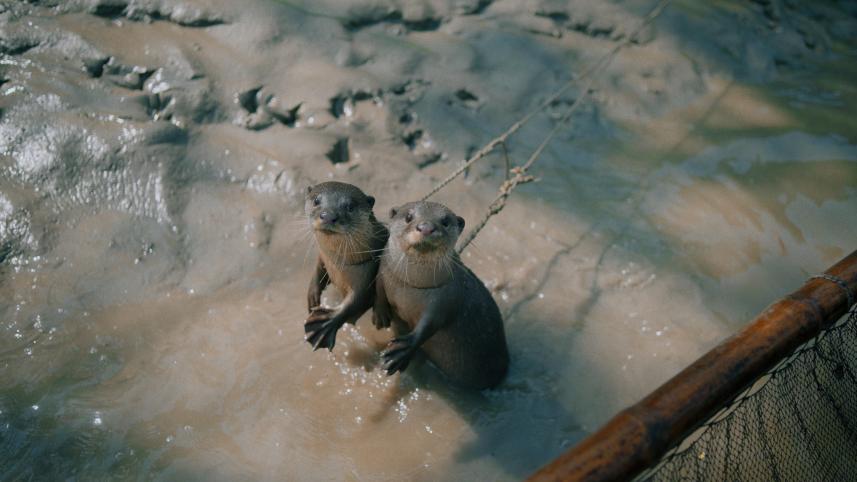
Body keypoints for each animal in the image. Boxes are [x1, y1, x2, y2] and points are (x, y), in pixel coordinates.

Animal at [304, 181, 388, 351]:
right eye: (316, 200)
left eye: (350, 207)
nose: (328, 216)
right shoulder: (324, 256)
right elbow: (318, 270)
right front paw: (312, 295)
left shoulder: (368, 272)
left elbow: (356, 302)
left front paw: (324, 325)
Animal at [374, 201, 509, 389]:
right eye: (408, 216)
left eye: (445, 222)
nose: (426, 227)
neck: (411, 285)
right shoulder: (383, 270)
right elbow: (378, 288)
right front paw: (380, 313)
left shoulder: (446, 298)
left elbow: (430, 325)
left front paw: (400, 352)